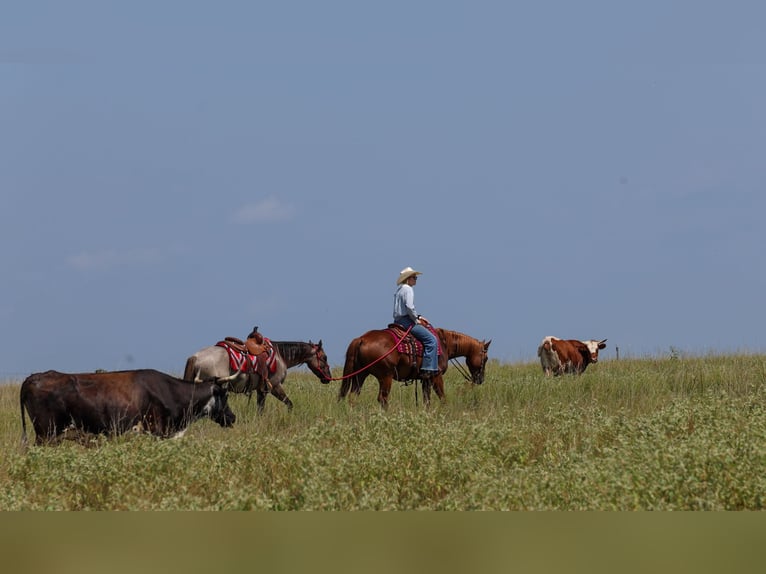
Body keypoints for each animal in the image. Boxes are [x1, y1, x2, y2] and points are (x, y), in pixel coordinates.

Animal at [183, 340, 331, 412]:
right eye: (324, 357)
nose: (328, 378)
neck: (280, 356)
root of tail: (195, 357)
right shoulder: (273, 387)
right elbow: (289, 404)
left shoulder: (261, 390)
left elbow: (260, 409)